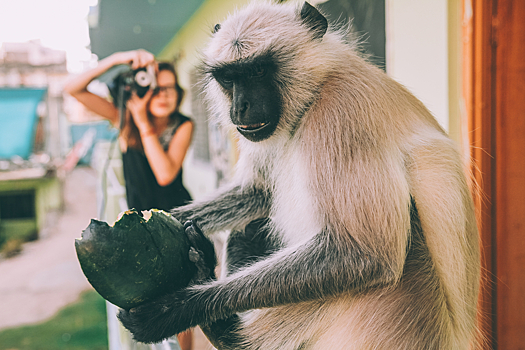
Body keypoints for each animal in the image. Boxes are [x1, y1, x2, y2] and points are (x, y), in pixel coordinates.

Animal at [118, 1, 478, 348]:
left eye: (258, 70)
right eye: (229, 78)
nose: (240, 107)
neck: (312, 95)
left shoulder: (341, 111)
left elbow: (368, 253)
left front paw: (176, 309)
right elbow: (258, 192)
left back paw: (227, 331)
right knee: (250, 226)